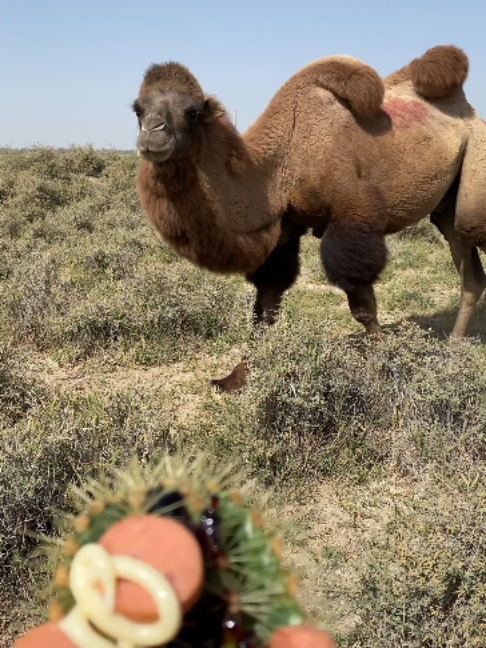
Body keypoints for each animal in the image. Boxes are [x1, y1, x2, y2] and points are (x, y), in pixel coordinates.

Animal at [133, 45, 486, 391]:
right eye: (138, 109)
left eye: (191, 113)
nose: (152, 135)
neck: (279, 165)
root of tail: (470, 113)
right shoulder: (286, 228)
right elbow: (266, 305)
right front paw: (235, 377)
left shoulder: (353, 213)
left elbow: (362, 306)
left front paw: (389, 361)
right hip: (447, 206)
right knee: (470, 274)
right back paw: (454, 348)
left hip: (474, 181)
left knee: (471, 240)